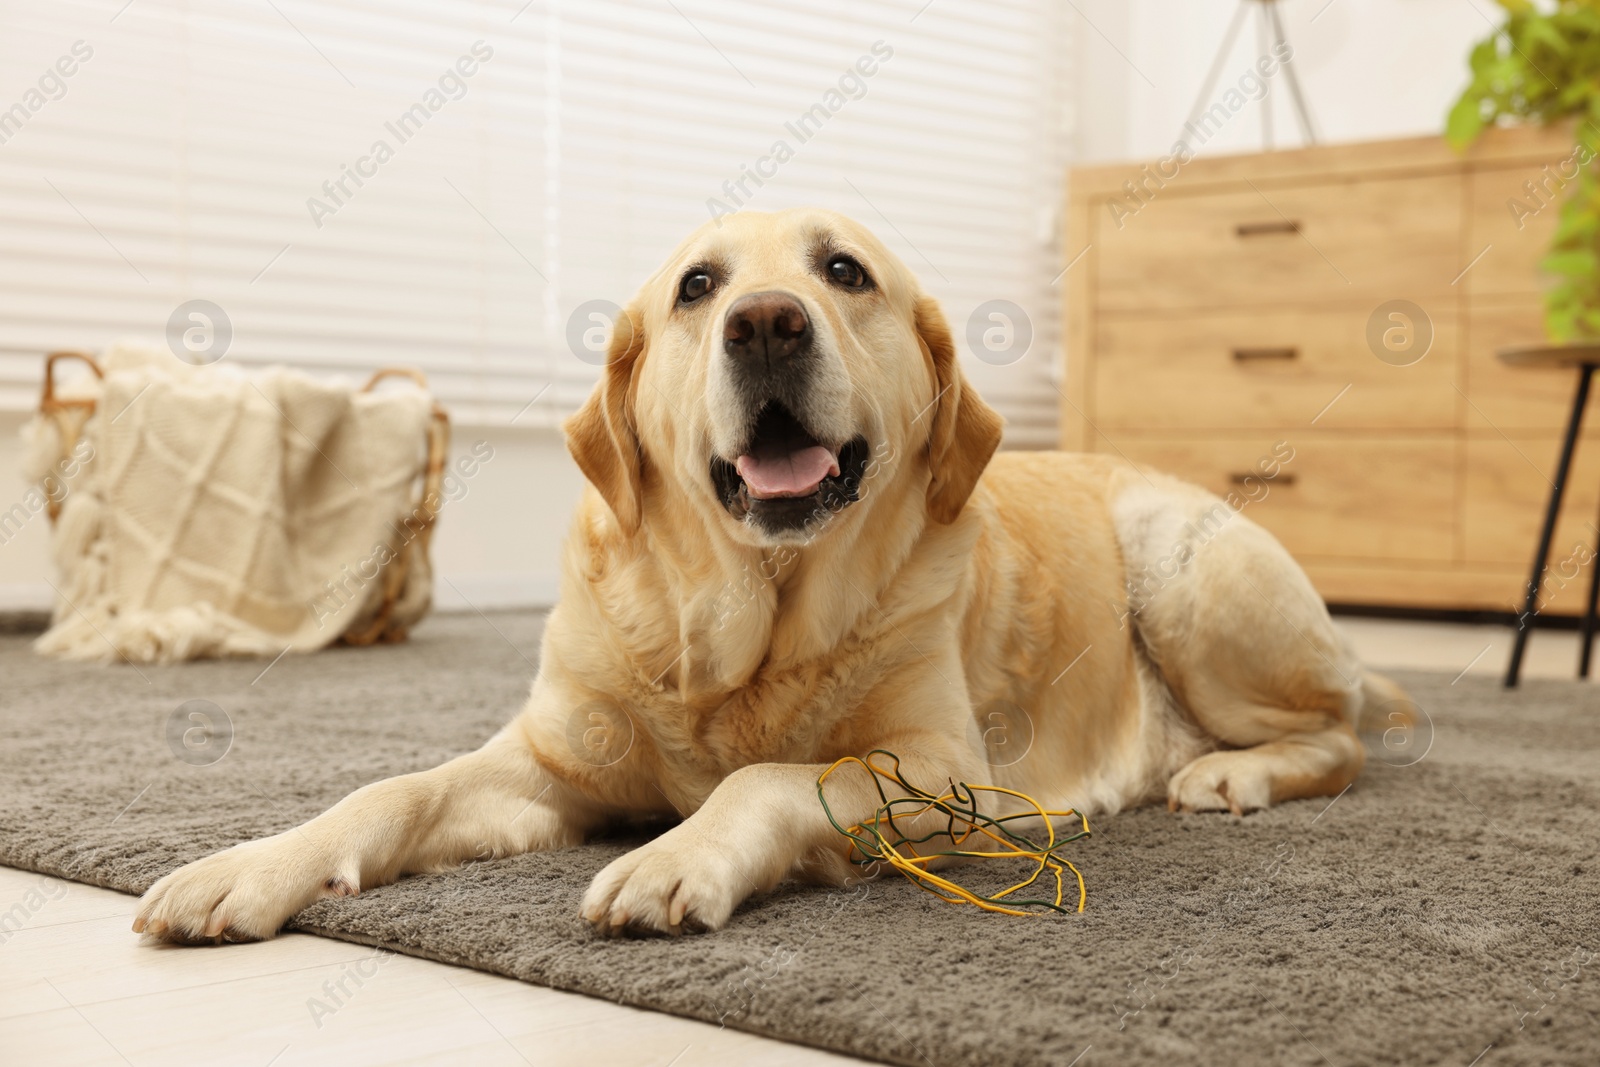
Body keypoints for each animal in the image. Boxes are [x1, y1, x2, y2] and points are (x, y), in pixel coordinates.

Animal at [134, 207, 1401, 940]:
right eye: (698, 288)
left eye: (844, 271)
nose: (767, 323)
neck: (740, 630)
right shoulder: (547, 763)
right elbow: (387, 790)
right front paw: (248, 866)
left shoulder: (944, 766)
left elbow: (769, 776)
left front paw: (674, 855)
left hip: (1185, 570)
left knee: (1341, 733)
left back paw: (1228, 772)